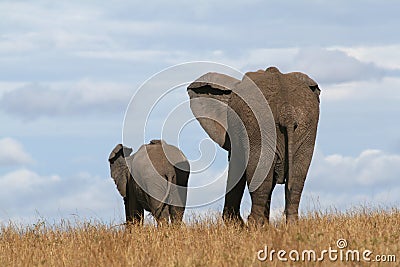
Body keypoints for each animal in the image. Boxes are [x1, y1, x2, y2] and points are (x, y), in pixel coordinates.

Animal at [188, 67, 322, 226]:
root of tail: (286, 110)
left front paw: (235, 224)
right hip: (303, 126)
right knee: (296, 178)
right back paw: (291, 226)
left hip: (260, 125)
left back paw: (253, 225)